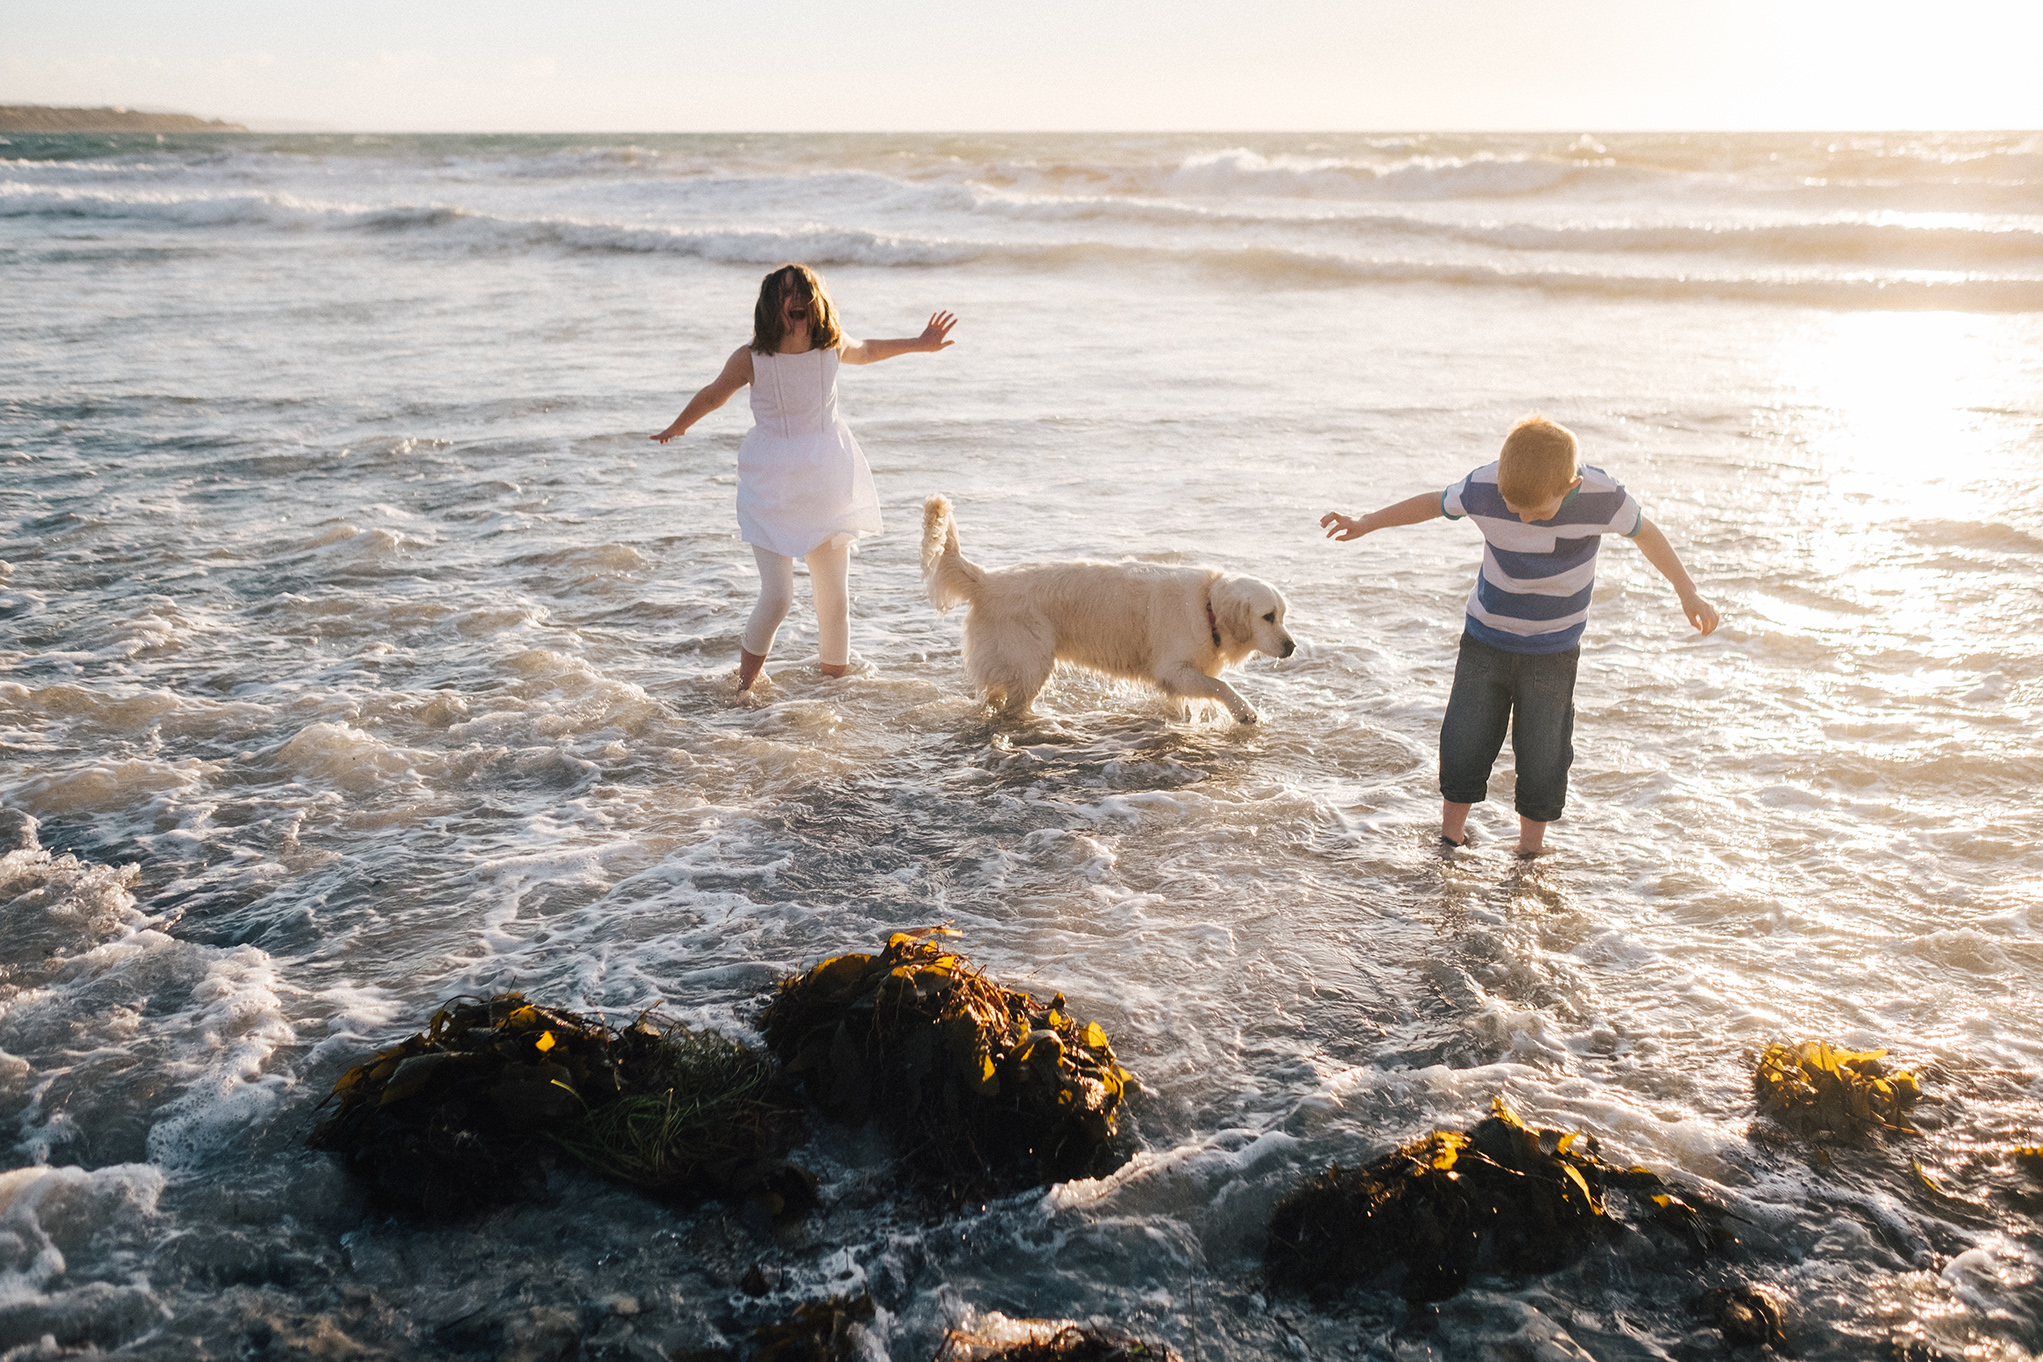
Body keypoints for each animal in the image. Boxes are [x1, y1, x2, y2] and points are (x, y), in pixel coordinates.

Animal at [923, 492, 1291, 722]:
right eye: (1268, 616)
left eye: (1283, 616)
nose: (1292, 646)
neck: (1207, 607)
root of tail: (986, 579)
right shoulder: (1173, 670)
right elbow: (1220, 685)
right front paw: (1245, 712)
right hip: (1028, 662)